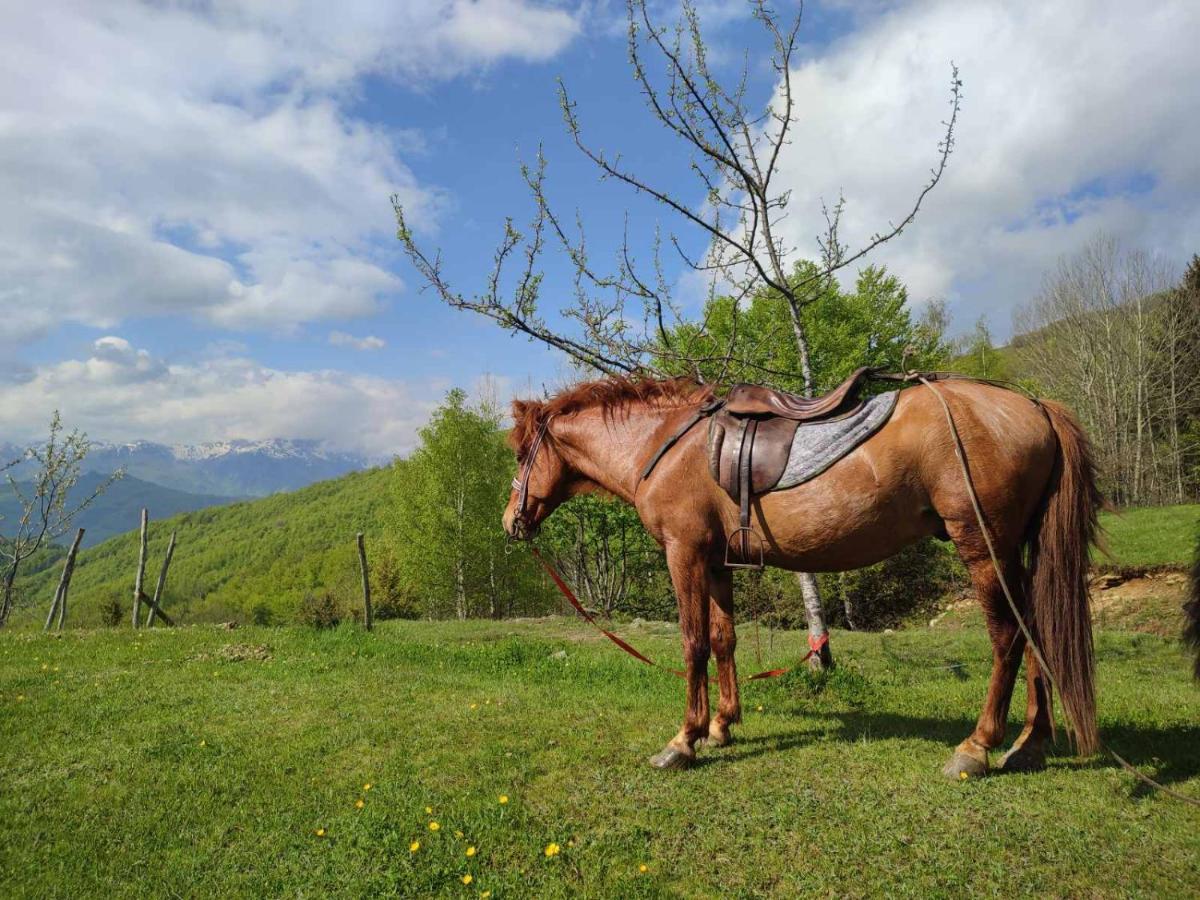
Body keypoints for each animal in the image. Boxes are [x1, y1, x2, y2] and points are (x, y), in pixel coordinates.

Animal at [501, 374, 1099, 777]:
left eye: (520, 454)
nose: (510, 520)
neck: (665, 444)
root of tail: (1034, 406)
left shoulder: (685, 554)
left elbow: (693, 642)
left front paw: (684, 739)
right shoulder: (716, 562)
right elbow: (724, 638)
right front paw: (722, 725)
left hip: (983, 546)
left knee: (1008, 635)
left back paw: (977, 746)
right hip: (1015, 549)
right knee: (1036, 629)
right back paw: (1030, 742)